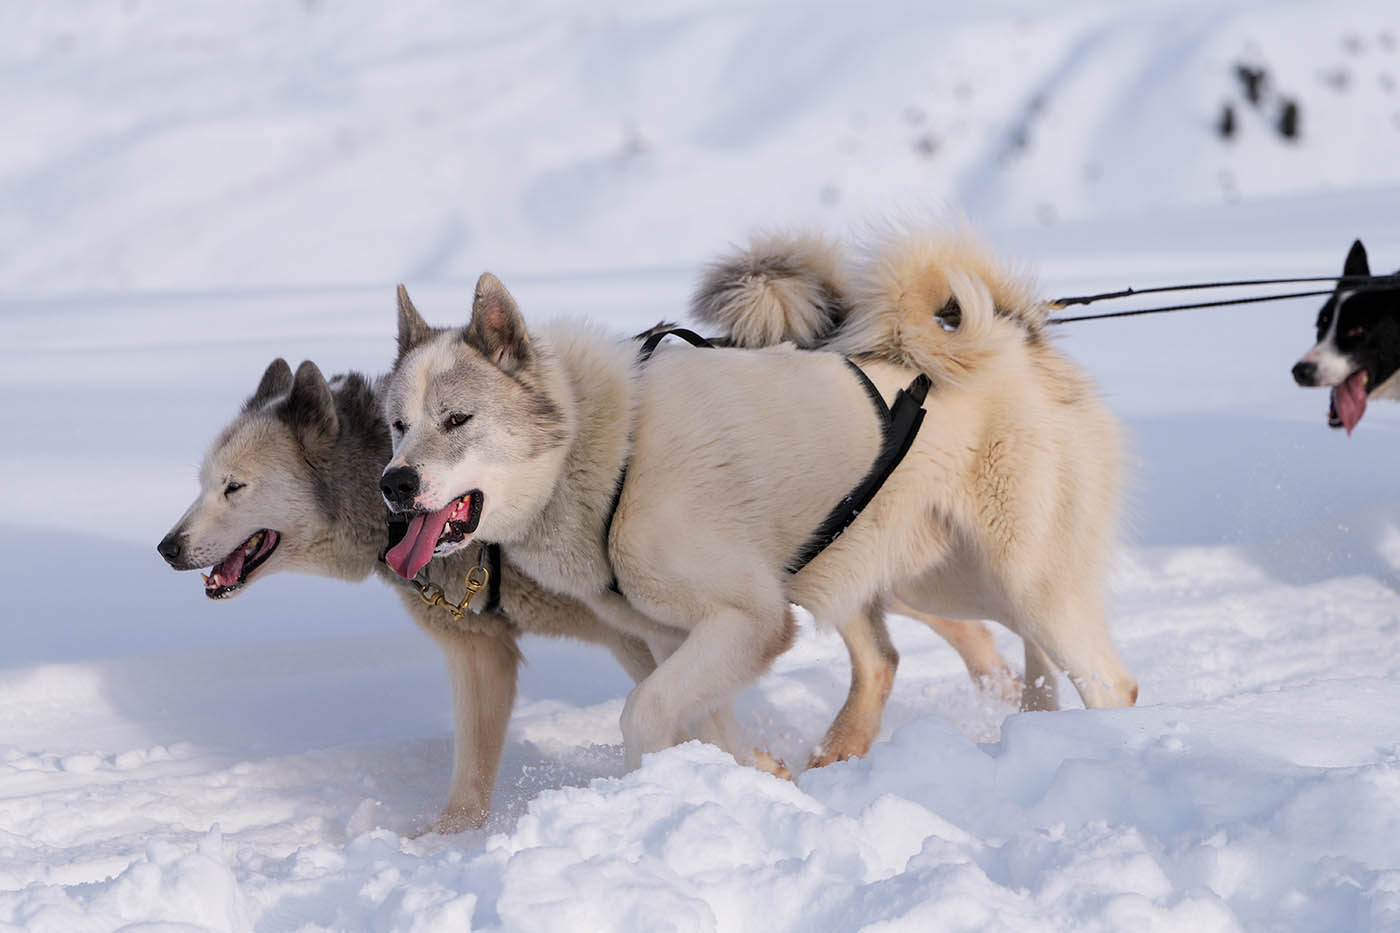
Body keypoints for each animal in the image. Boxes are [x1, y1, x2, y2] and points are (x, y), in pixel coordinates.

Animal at [156, 357, 658, 829]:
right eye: (203, 484)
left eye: (234, 486)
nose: (166, 548)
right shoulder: (480, 648)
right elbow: (473, 769)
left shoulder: (632, 635)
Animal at [383, 228, 1136, 767]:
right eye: (396, 424)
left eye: (457, 419)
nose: (394, 484)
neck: (613, 446)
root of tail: (1019, 335)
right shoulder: (681, 637)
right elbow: (708, 722)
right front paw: (756, 776)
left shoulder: (751, 620)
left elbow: (645, 712)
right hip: (922, 578)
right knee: (916, 657)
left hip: (1017, 579)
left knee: (1108, 681)